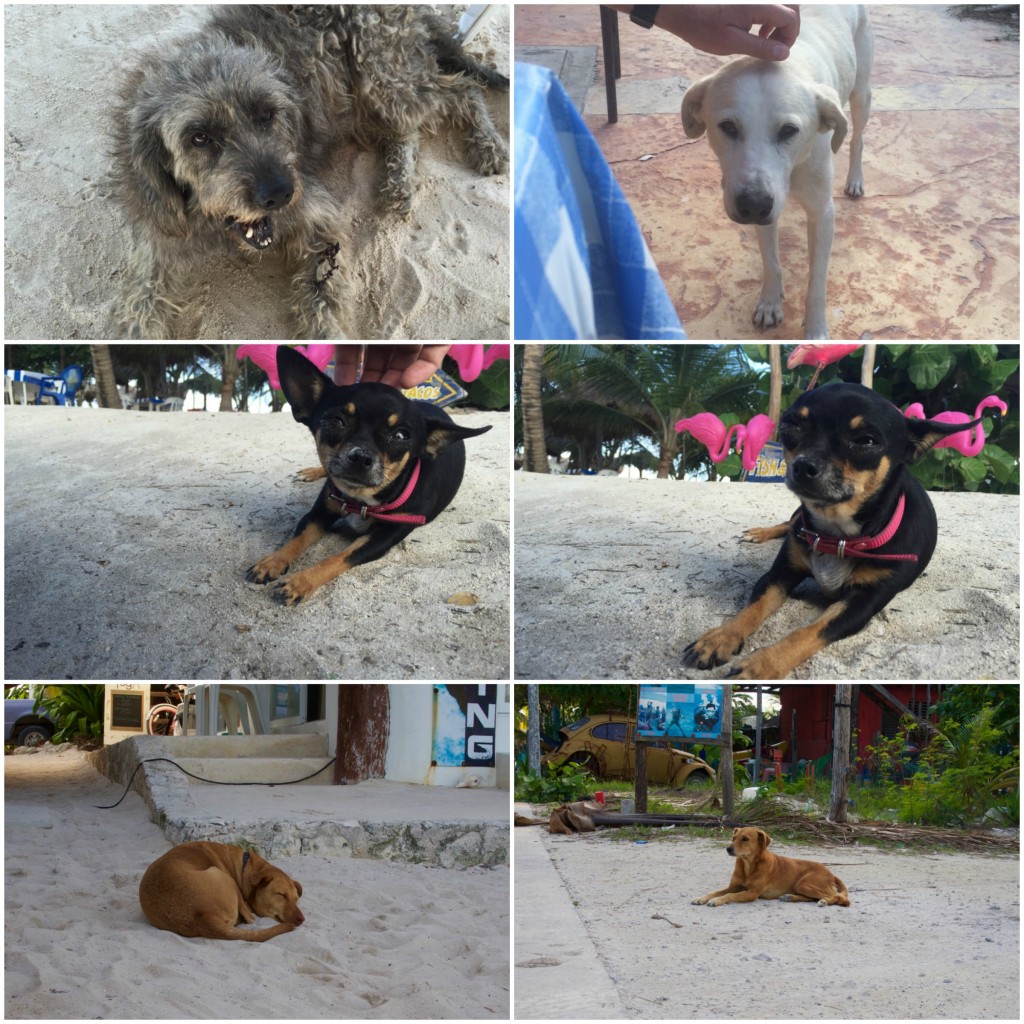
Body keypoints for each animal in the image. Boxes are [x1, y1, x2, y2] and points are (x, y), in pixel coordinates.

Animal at [142, 839, 305, 942]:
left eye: (296, 899)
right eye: (281, 895)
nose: (301, 919)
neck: (244, 866)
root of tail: (203, 916)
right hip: (219, 874)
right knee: (249, 917)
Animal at [679, 4, 872, 339]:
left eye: (789, 130)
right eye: (728, 127)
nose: (753, 205)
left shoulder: (822, 213)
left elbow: (817, 282)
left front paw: (816, 330)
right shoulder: (765, 208)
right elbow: (771, 261)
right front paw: (770, 302)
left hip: (861, 93)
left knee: (858, 137)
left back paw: (855, 180)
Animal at [692, 827, 851, 909]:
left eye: (745, 839)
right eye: (734, 838)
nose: (728, 849)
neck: (749, 865)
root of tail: (830, 873)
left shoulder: (752, 893)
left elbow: (729, 895)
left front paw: (717, 900)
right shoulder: (734, 886)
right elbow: (715, 892)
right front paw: (702, 898)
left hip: (804, 883)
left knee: (840, 898)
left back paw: (825, 901)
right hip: (801, 886)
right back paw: (790, 897)